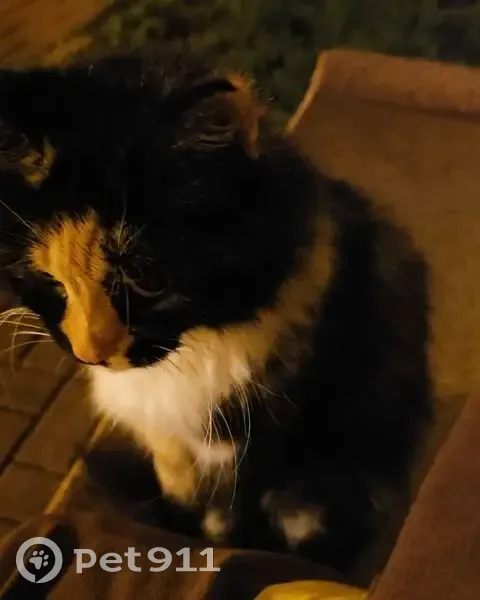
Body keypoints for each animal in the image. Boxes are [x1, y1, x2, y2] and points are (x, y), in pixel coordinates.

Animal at [0, 54, 431, 575]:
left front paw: (219, 549)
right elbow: (179, 492)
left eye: (148, 275)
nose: (91, 353)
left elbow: (229, 518)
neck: (191, 351)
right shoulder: (166, 440)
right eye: (46, 278)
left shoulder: (255, 442)